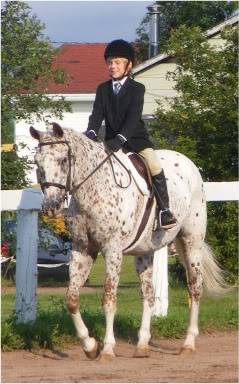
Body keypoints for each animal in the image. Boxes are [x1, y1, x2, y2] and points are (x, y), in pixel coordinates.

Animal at [29, 123, 226, 360]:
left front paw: (107, 348)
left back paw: (188, 343)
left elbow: (108, 299)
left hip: (192, 241)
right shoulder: (82, 250)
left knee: (195, 287)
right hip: (145, 251)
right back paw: (142, 345)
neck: (93, 190)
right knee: (148, 294)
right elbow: (72, 299)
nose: (51, 206)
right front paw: (90, 345)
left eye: (63, 160)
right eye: (37, 162)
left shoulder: (112, 250)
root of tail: (186, 161)